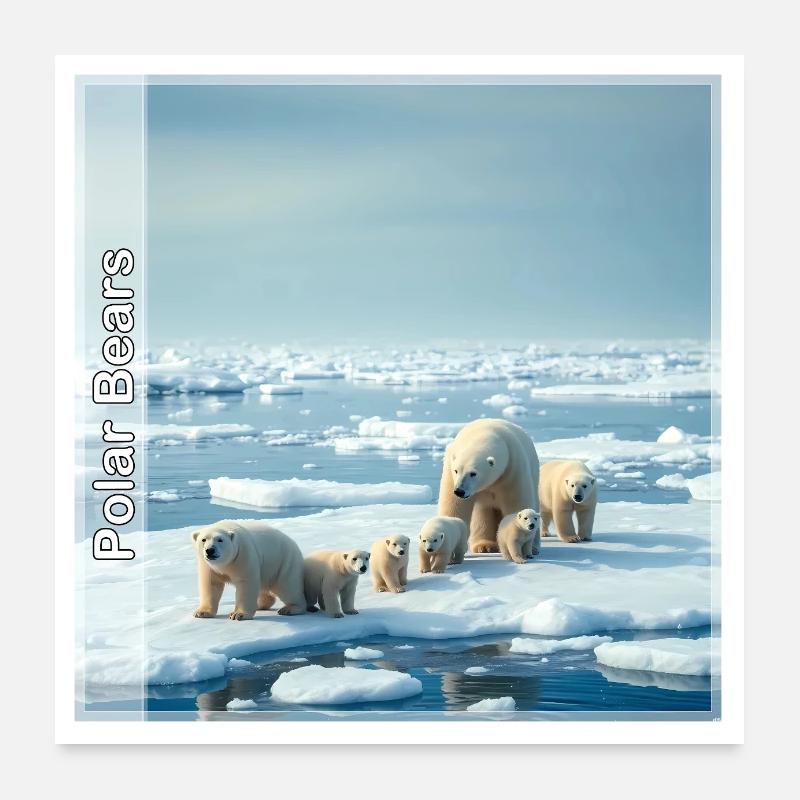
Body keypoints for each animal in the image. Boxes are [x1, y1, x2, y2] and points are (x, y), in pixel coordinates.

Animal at [438, 418, 540, 554]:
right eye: (456, 470)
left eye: (473, 473)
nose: (459, 491)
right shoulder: (450, 473)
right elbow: (454, 506)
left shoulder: (512, 469)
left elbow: (517, 504)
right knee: (483, 513)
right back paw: (485, 546)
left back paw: (534, 547)